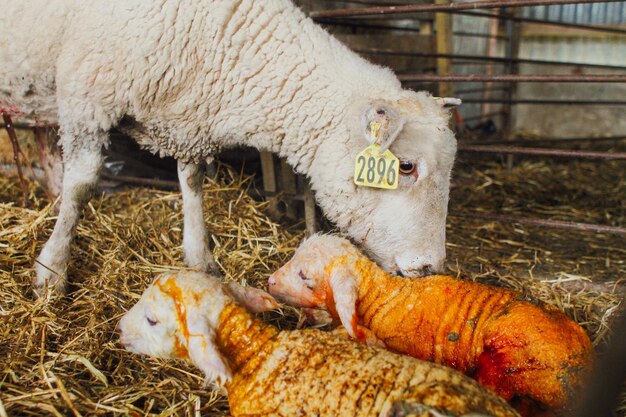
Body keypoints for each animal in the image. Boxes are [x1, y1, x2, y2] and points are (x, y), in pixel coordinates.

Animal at [2, 0, 456, 296]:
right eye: (407, 167)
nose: (431, 267)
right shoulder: (87, 98)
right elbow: (81, 187)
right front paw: (51, 273)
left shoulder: (187, 122)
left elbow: (193, 184)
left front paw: (199, 258)